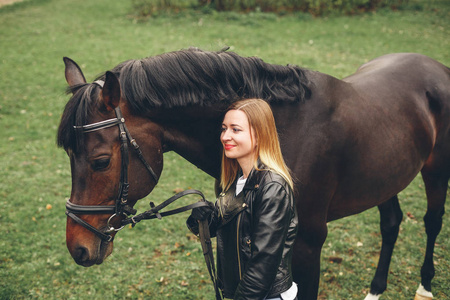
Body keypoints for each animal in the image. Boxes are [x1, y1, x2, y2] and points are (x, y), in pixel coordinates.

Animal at [58, 48, 448, 298]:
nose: (78, 248)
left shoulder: (308, 244)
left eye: (100, 161)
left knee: (431, 221)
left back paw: (425, 286)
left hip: (435, 171)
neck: (278, 131)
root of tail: (435, 66)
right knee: (391, 222)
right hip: (384, 176)